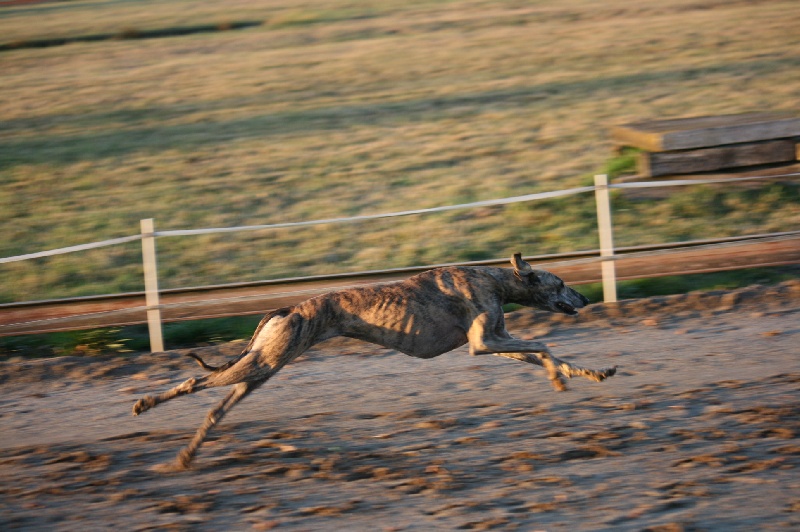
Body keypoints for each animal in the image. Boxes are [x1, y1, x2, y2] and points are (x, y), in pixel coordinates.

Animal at [134, 251, 616, 468]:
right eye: (561, 282)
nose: (586, 298)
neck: (495, 279)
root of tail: (286, 308)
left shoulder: (498, 338)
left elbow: (546, 352)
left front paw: (593, 371)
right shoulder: (484, 342)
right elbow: (545, 347)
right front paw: (560, 379)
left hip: (261, 369)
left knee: (215, 409)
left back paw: (187, 455)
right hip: (263, 363)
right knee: (194, 383)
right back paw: (145, 404)